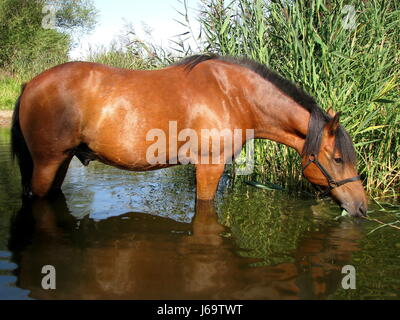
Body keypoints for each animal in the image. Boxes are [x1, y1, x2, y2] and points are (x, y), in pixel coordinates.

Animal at [9, 53, 368, 216]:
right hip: (47, 163)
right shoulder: (210, 166)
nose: (362, 208)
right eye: (338, 159)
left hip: (61, 162)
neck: (233, 96)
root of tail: (31, 84)